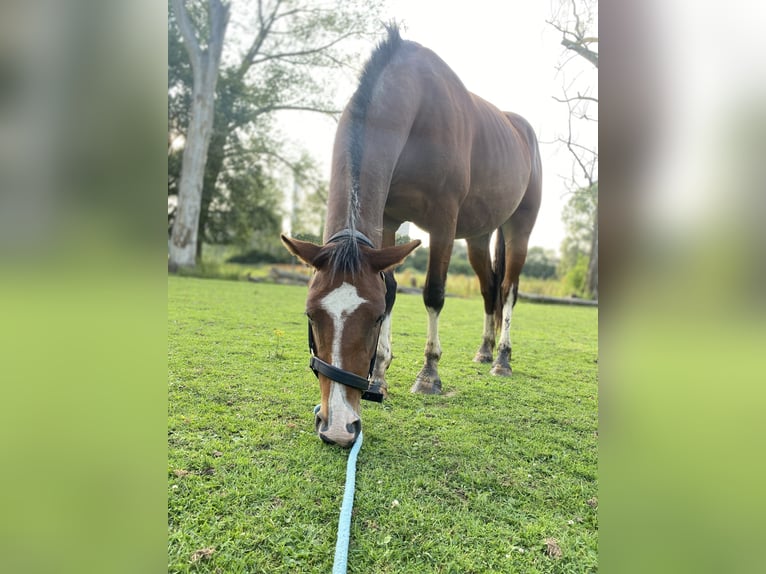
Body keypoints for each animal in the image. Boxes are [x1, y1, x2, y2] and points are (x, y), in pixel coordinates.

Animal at [284, 24, 544, 450]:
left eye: (372, 319)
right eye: (310, 314)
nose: (338, 426)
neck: (417, 108)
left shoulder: (442, 222)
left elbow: (433, 294)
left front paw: (428, 375)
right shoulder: (388, 220)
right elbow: (390, 288)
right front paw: (380, 375)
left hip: (519, 227)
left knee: (507, 290)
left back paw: (503, 358)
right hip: (479, 235)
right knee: (488, 289)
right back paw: (484, 351)